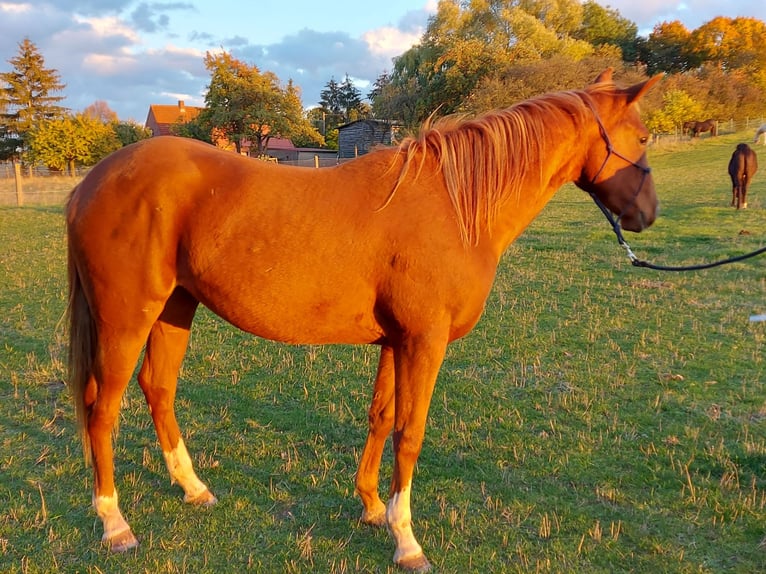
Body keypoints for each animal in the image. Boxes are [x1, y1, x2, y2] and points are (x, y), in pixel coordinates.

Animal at [66, 68, 662, 571]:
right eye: (643, 137)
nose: (648, 214)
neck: (454, 204)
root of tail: (91, 184)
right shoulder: (424, 341)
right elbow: (410, 433)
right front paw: (407, 541)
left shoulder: (396, 341)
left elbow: (381, 417)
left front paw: (373, 508)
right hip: (127, 319)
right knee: (103, 408)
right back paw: (115, 525)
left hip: (174, 308)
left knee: (157, 388)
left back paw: (193, 488)